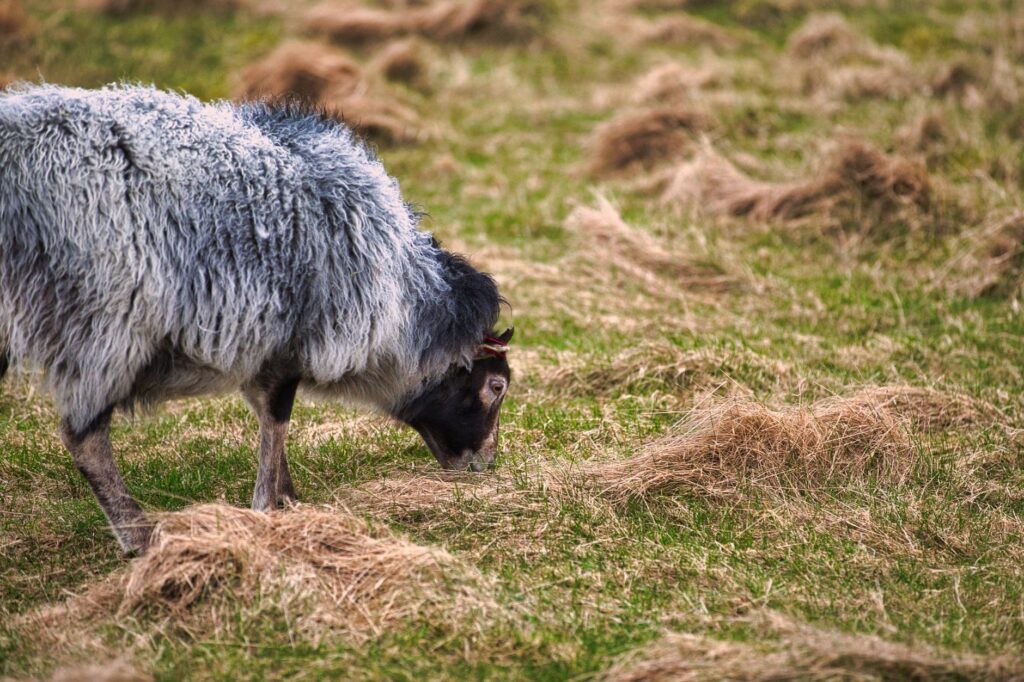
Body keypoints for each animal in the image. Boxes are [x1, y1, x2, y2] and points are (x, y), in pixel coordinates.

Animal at [0, 83, 513, 554]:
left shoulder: (262, 348)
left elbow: (268, 418)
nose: (483, 466)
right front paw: (268, 509)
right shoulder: (291, 342)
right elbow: (277, 419)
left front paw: (288, 499)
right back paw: (140, 538)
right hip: (99, 325)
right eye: (496, 386)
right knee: (84, 439)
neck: (402, 306)